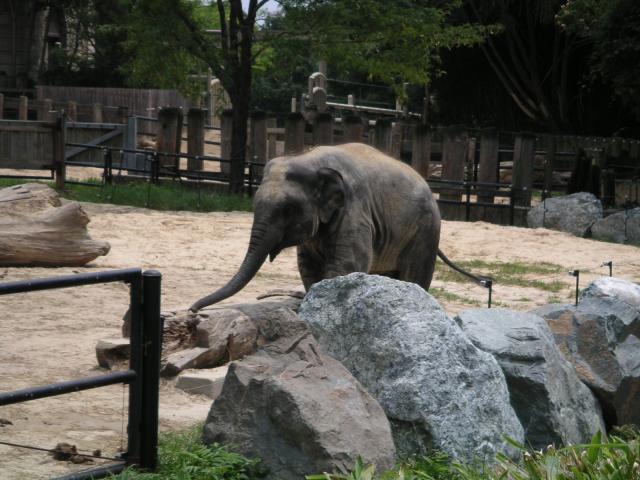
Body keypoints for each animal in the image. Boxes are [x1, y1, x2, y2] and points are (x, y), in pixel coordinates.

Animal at [191, 143, 482, 311]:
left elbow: (346, 264)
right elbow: (308, 266)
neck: (309, 160)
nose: (193, 309)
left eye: (287, 210)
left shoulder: (355, 211)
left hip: (425, 232)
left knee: (414, 275)